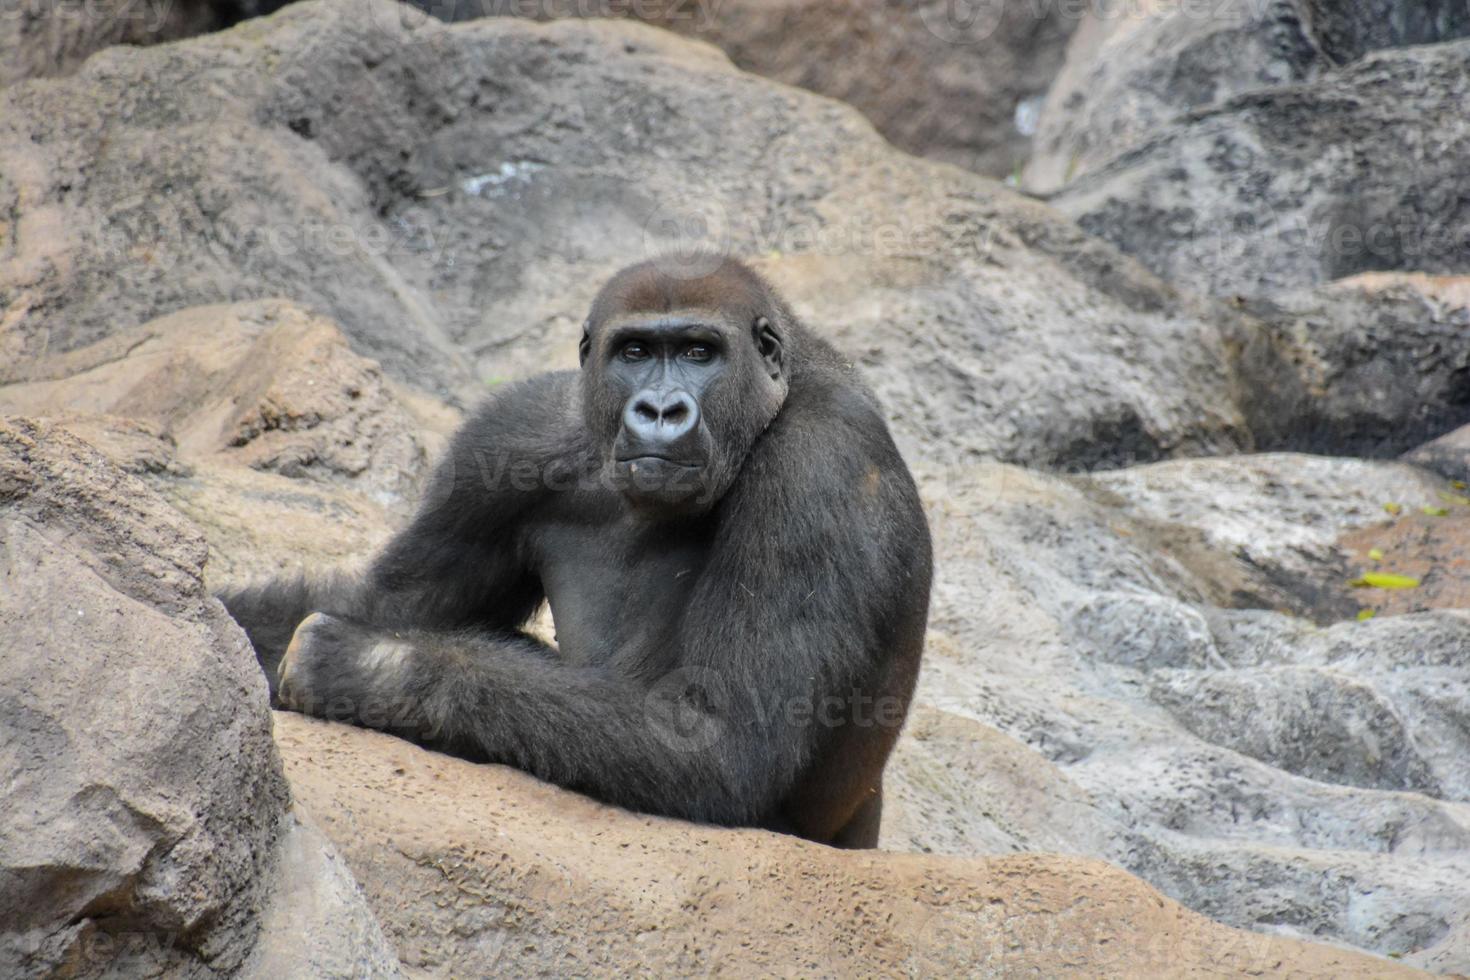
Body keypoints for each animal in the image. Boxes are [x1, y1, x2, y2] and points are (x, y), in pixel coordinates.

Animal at [217, 255, 929, 852]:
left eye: (700, 352)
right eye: (635, 351)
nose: (661, 410)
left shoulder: (822, 462)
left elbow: (720, 737)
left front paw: (368, 666)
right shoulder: (510, 436)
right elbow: (386, 600)